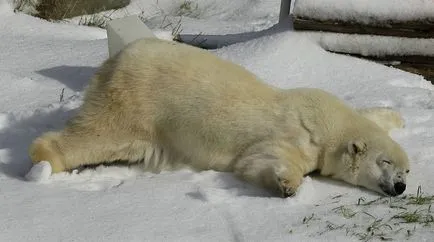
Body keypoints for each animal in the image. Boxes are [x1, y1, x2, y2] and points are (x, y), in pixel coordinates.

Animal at [28, 37, 410, 197]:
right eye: (386, 163)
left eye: (407, 170)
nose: (401, 187)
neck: (328, 124)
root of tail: (117, 59)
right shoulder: (295, 134)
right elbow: (269, 156)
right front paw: (288, 185)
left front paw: (397, 117)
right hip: (135, 105)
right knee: (99, 135)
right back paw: (44, 159)